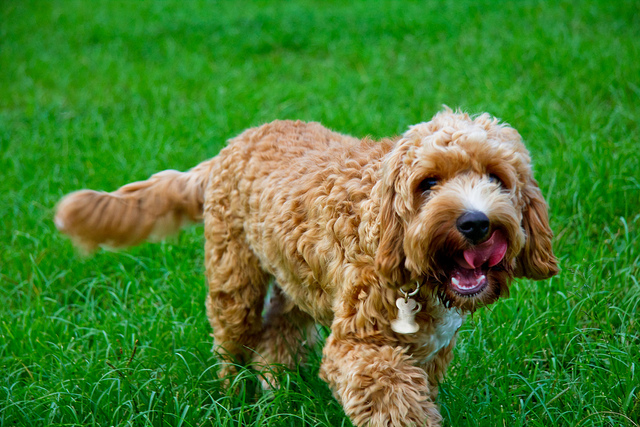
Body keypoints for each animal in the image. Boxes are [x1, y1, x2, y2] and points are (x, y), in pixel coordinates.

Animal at [55, 109, 556, 427]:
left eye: (496, 178)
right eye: (427, 183)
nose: (476, 223)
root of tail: (231, 145)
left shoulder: (429, 353)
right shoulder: (360, 350)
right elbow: (397, 405)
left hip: (294, 281)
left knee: (275, 341)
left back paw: (277, 396)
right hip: (234, 281)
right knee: (232, 346)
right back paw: (233, 401)